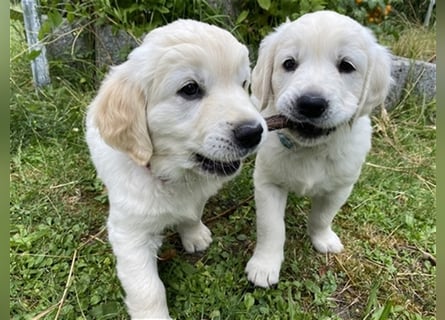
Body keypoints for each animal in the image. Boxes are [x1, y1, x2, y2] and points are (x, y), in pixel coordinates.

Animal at [86, 19, 268, 318]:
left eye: (244, 84)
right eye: (190, 89)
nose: (254, 132)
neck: (173, 174)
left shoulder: (197, 195)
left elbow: (192, 213)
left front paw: (194, 235)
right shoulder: (130, 234)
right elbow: (148, 289)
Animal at [245, 10, 390, 288]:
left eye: (346, 66)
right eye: (289, 64)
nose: (310, 103)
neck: (311, 149)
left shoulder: (341, 186)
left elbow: (322, 216)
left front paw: (323, 239)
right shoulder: (268, 182)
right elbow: (271, 227)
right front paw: (264, 265)